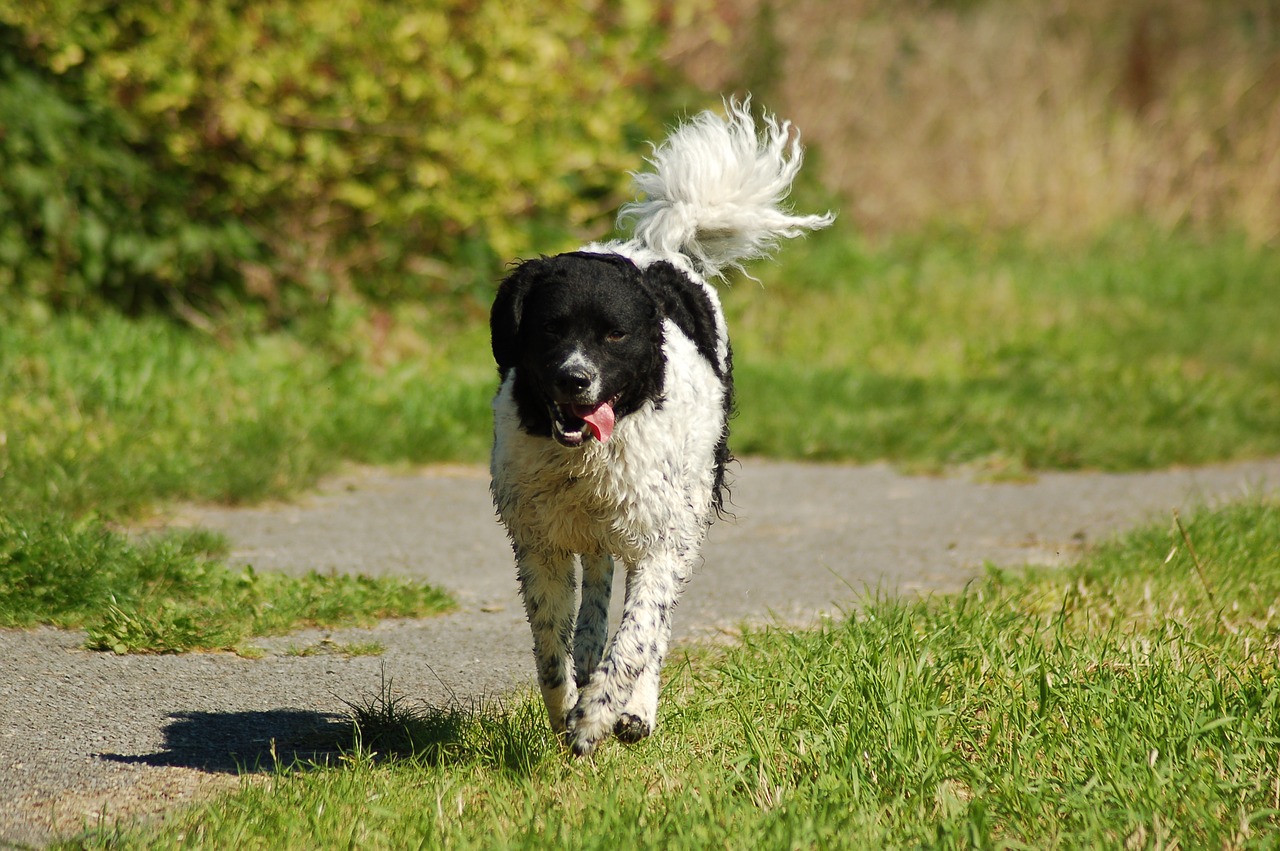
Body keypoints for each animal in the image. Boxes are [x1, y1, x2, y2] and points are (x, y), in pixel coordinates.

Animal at [486, 99, 829, 757]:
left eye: (615, 334)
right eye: (550, 329)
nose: (574, 379)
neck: (588, 458)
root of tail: (660, 249)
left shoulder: (662, 537)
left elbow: (638, 637)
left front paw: (598, 715)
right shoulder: (539, 539)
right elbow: (551, 649)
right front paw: (567, 709)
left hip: (685, 512)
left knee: (651, 626)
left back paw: (634, 711)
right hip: (598, 534)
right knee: (596, 598)